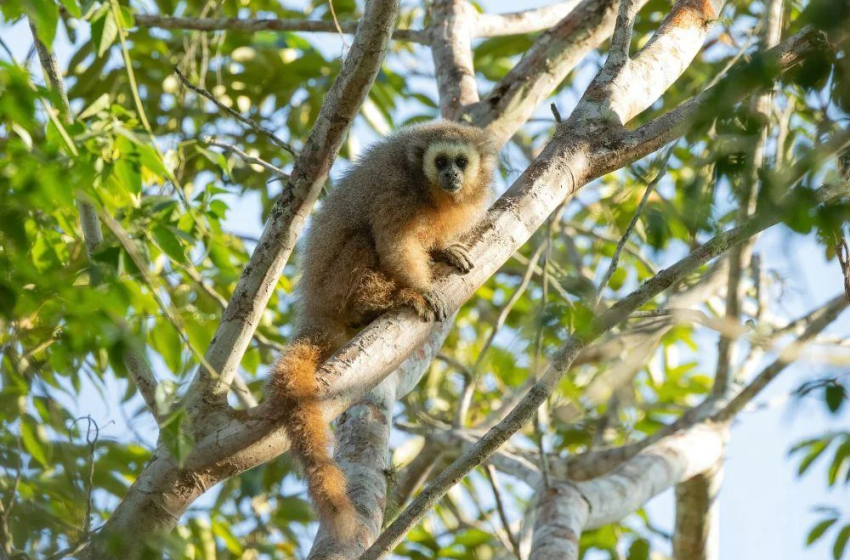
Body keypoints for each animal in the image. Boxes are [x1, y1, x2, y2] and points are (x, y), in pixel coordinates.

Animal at [267, 121, 498, 541]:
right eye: (441, 161)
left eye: (460, 162)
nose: (452, 176)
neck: (432, 193)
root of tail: (316, 309)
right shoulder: (397, 192)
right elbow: (394, 243)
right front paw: (420, 290)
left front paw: (445, 251)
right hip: (337, 285)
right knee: (363, 238)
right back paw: (382, 301)